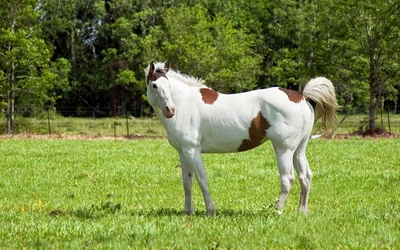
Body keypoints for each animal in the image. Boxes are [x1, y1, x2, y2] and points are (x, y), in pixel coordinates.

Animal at [144, 60, 338, 215]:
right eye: (155, 85)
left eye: (168, 86)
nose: (170, 110)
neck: (185, 103)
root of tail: (301, 96)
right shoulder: (182, 152)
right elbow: (187, 183)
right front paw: (188, 212)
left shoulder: (192, 150)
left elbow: (202, 180)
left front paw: (210, 211)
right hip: (299, 149)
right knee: (305, 177)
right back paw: (302, 211)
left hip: (284, 149)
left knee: (288, 179)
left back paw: (276, 211)